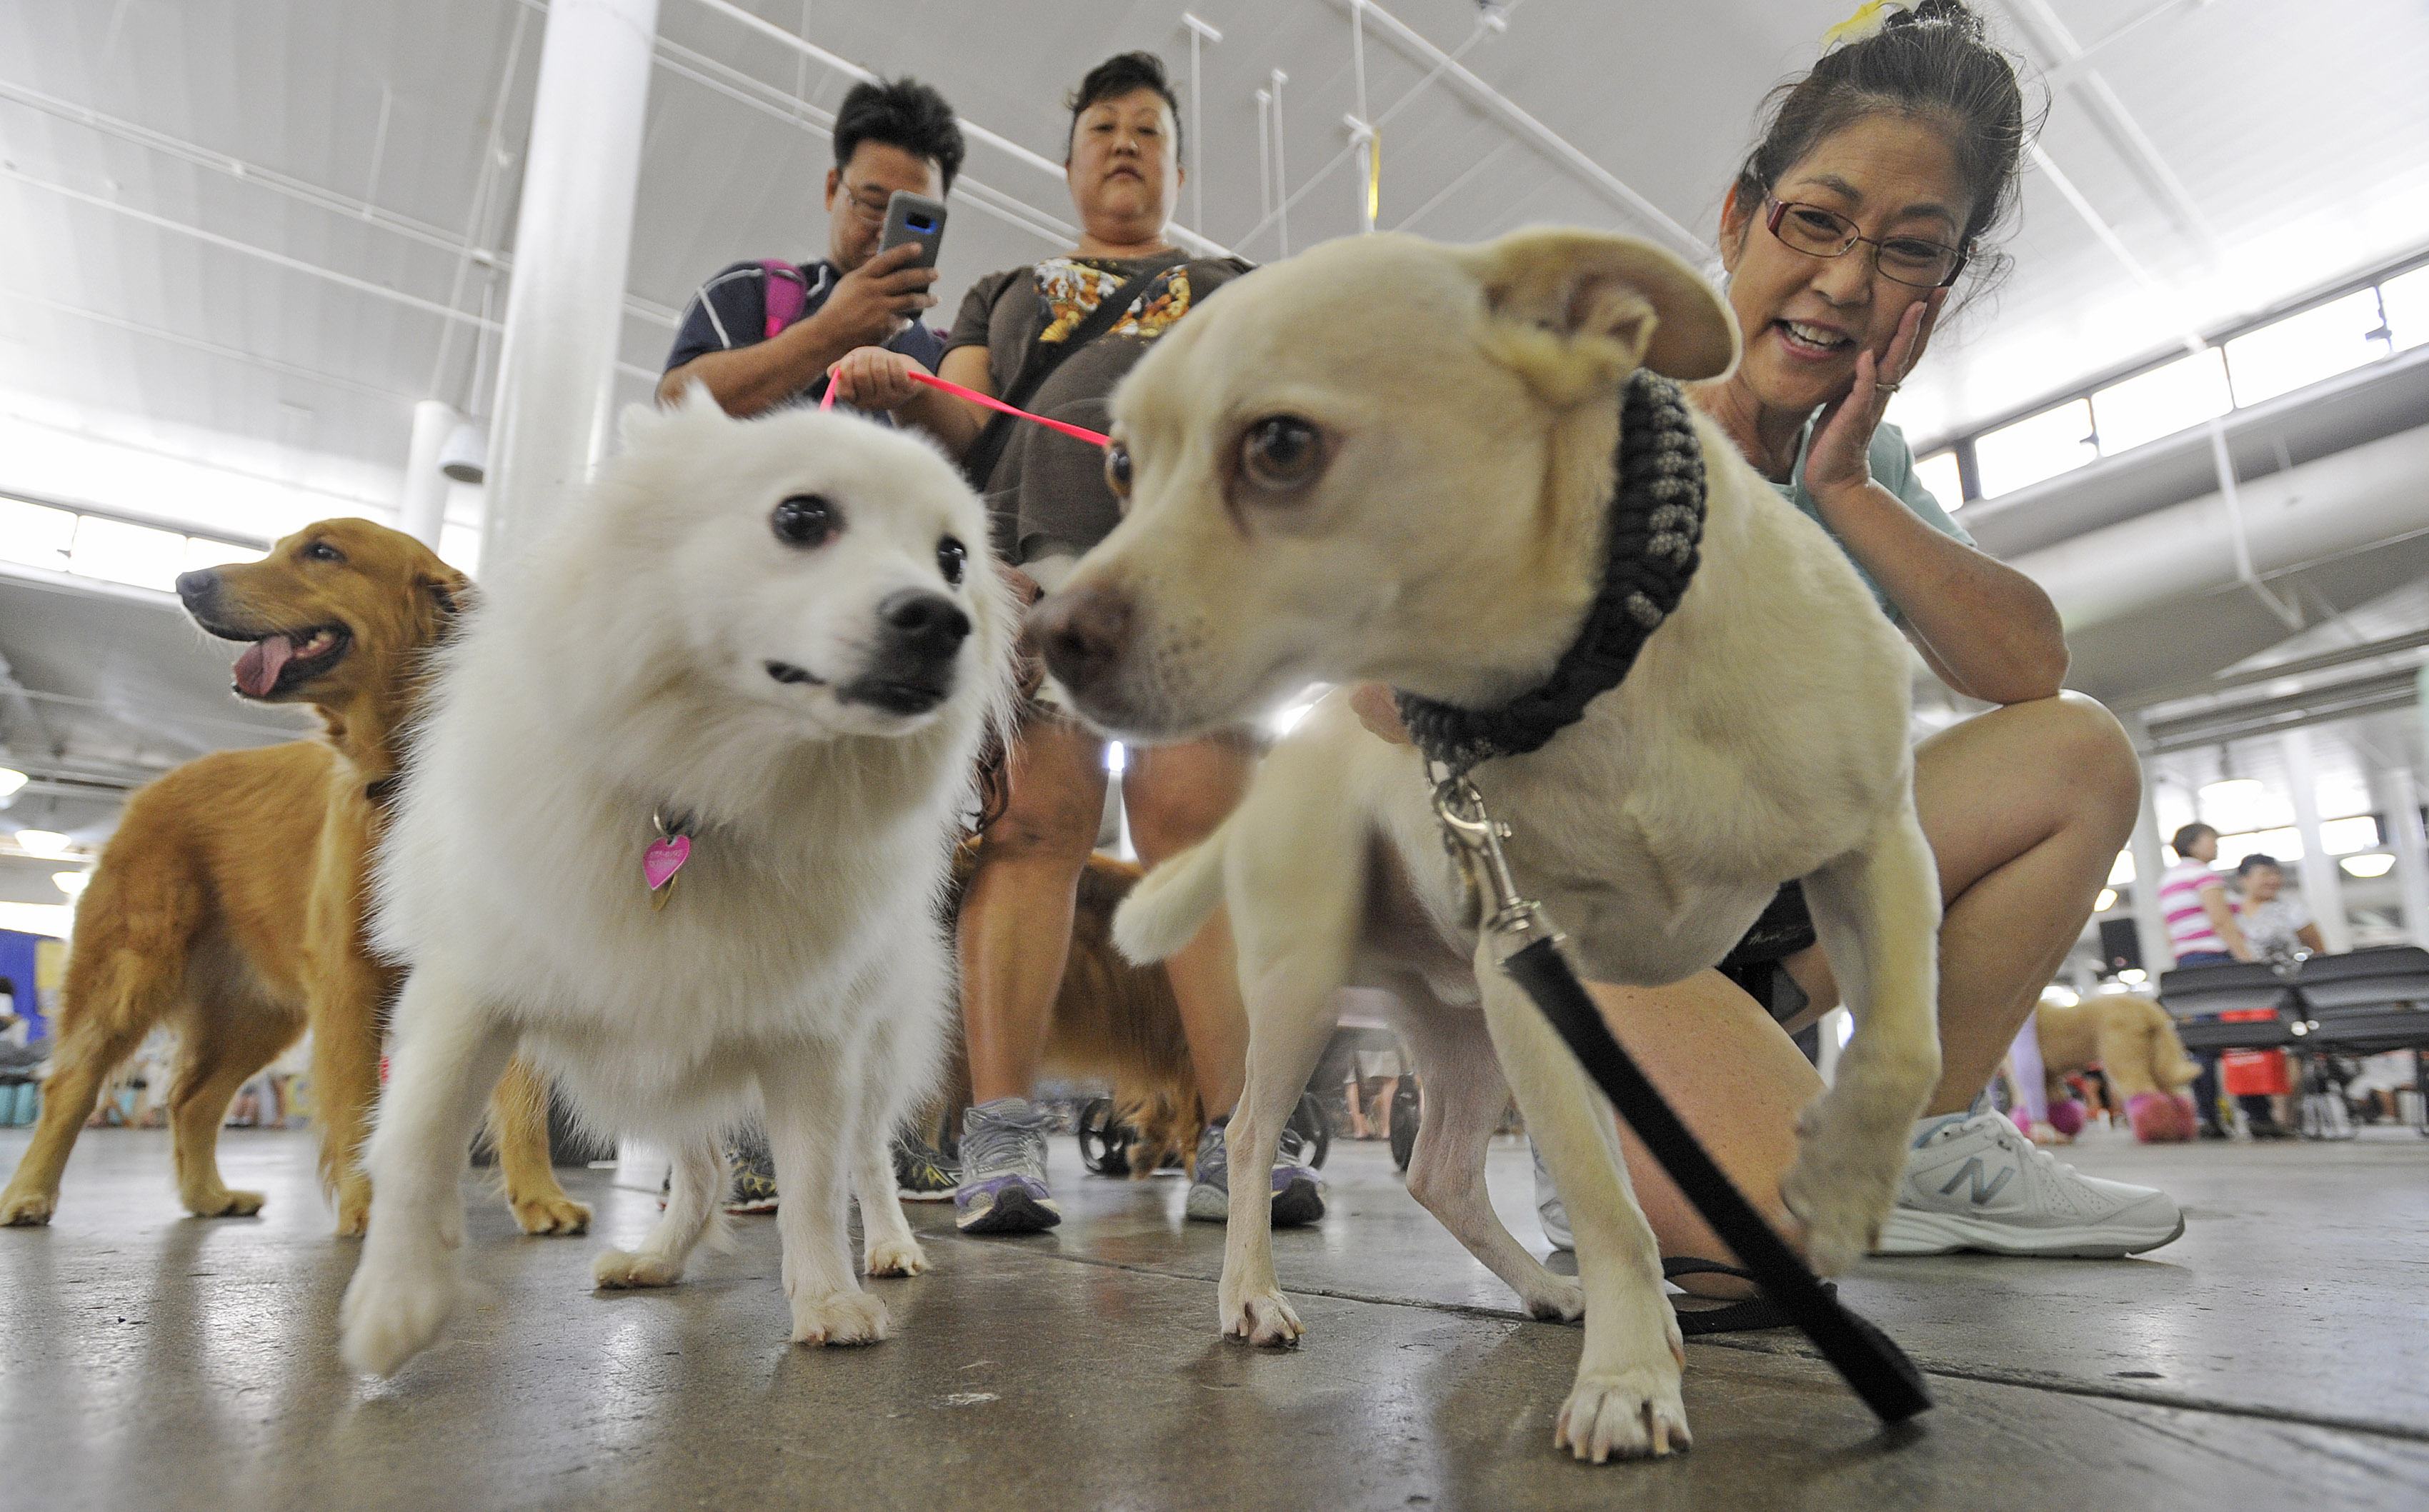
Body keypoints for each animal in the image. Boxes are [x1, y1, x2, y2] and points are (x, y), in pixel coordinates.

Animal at [1, 514, 587, 1238]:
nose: (187, 580)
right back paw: (29, 1194)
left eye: (323, 552)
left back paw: (208, 1194)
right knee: (72, 1087)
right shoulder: (349, 978)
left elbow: (525, 1103)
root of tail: (157, 786)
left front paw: (540, 1196)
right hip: (128, 973)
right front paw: (368, 1208)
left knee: (192, 1098)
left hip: (257, 1014)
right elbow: (359, 1108)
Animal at [337, 393, 1010, 1388]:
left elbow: (814, 1186)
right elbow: (416, 1140)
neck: (700, 793)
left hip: (868, 1055)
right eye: (801, 517)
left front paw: (828, 1300)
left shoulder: (814, 1042)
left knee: (867, 1163)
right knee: (700, 1173)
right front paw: (395, 1305)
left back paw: (889, 1247)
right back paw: (657, 1258)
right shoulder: (468, 991)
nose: (940, 619)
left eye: (954, 557)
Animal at [1034, 230, 1943, 1466]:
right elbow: (1605, 1205)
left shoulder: (1878, 847)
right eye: (1125, 467)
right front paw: (1626, 1375)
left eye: (1280, 445)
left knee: (1441, 1173)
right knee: (1255, 1135)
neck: (1584, 681)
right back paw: (1254, 1294)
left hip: (1467, 1029)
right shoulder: (1533, 975)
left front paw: (1843, 1191)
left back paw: (1546, 1288)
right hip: (1321, 994)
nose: (1048, 635)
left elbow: (1900, 1049)